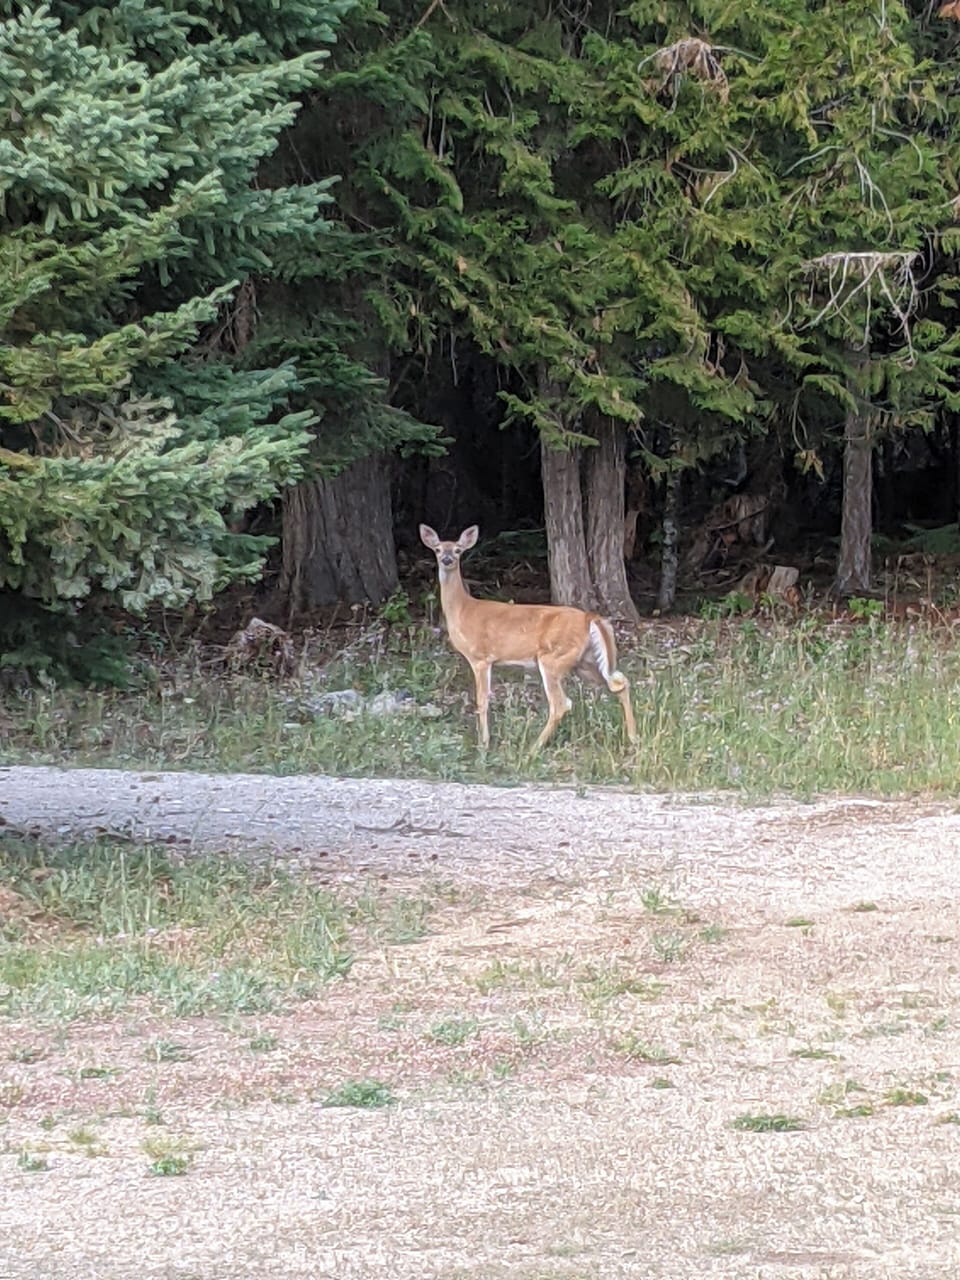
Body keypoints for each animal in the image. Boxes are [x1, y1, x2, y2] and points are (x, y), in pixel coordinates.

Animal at [420, 523, 637, 752]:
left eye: (458, 550)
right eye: (437, 549)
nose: (447, 559)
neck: (462, 610)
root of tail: (589, 618)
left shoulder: (480, 657)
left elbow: (482, 700)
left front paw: (484, 744)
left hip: (553, 659)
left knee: (561, 704)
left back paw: (533, 749)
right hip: (584, 661)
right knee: (620, 682)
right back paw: (633, 738)